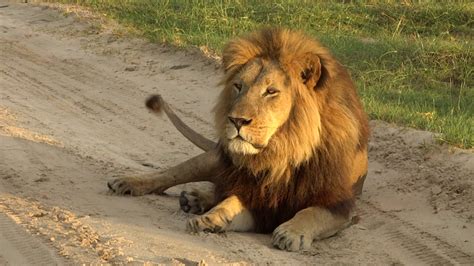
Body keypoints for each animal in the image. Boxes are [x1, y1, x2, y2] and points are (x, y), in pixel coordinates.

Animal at [107, 28, 370, 251]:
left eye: (271, 91)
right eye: (238, 86)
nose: (237, 120)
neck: (281, 153)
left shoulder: (339, 205)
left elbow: (311, 213)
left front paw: (291, 232)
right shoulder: (255, 197)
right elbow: (230, 201)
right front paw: (210, 218)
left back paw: (194, 199)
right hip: (216, 158)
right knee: (172, 174)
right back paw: (133, 183)